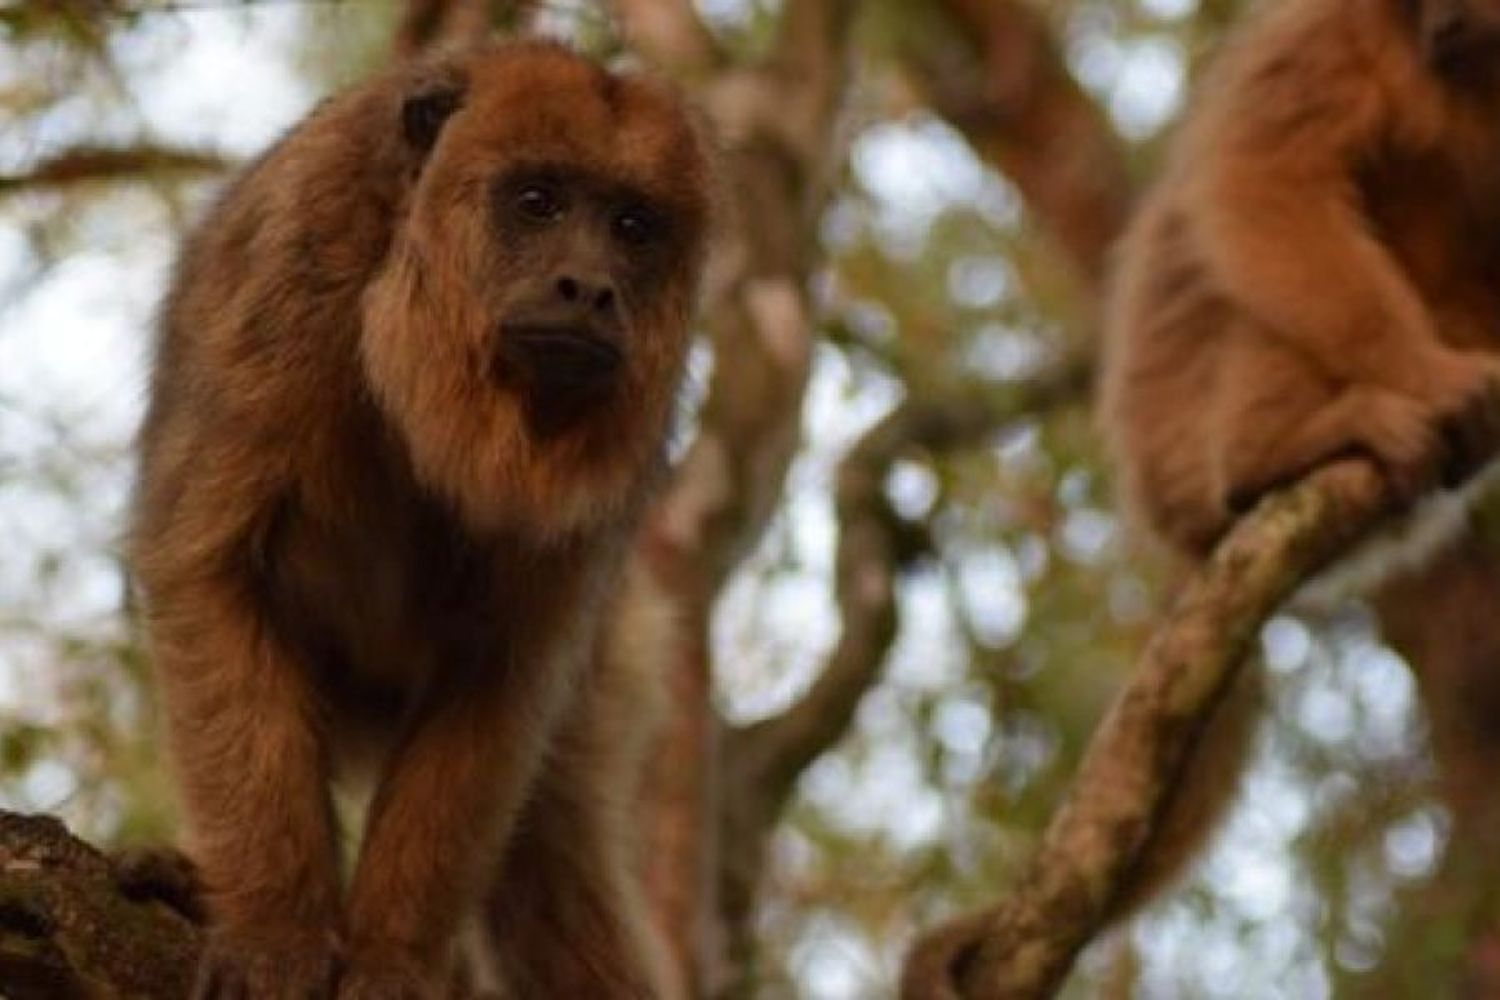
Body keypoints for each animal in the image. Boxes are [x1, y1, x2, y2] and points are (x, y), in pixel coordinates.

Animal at [132, 41, 711, 1000]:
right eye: (537, 201)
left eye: (633, 226)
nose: (591, 288)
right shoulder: (291, 262)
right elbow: (210, 572)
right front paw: (272, 931)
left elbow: (504, 669)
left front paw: (390, 960)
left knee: (553, 865)